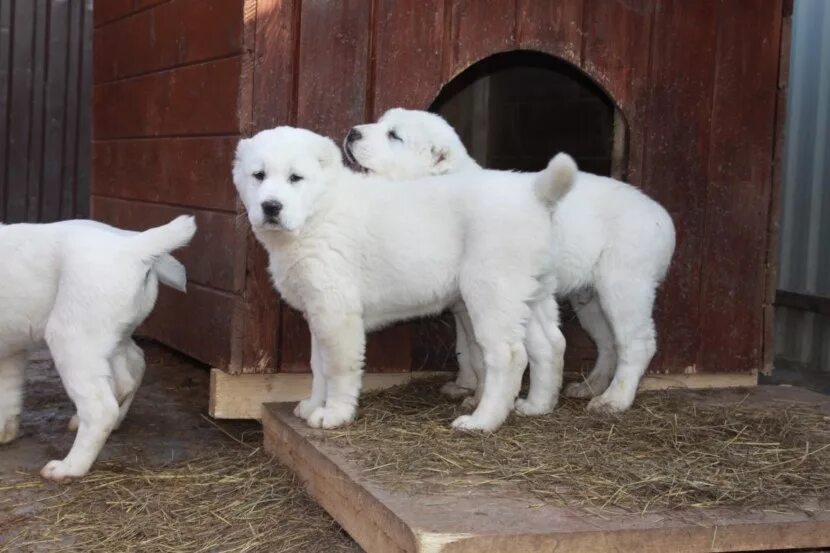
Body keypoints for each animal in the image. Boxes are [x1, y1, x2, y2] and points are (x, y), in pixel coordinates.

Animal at [0, 216, 197, 478]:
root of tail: (133, 247)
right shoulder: (11, 350)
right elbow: (8, 394)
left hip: (71, 339)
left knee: (101, 408)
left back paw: (69, 467)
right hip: (113, 338)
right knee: (130, 373)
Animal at [231, 125, 576, 432]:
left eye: (295, 178)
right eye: (258, 175)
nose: (271, 206)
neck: (320, 210)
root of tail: (535, 193)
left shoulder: (337, 313)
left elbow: (337, 368)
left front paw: (334, 414)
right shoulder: (318, 312)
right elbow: (318, 366)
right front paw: (314, 404)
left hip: (491, 292)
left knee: (509, 356)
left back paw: (482, 421)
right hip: (530, 293)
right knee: (550, 343)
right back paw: (538, 406)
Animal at [344, 108, 676, 414]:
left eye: (394, 136)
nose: (352, 133)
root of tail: (662, 216)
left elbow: (479, 352)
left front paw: (477, 396)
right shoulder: (461, 305)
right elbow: (465, 347)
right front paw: (465, 384)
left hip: (624, 282)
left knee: (636, 343)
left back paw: (613, 399)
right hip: (590, 299)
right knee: (607, 342)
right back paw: (589, 386)